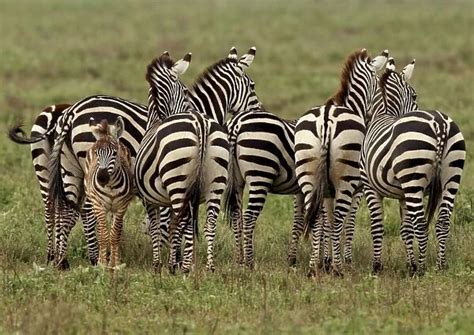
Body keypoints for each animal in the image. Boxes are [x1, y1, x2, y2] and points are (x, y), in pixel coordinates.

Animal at [8, 103, 71, 264]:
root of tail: (56, 113)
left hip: (42, 164)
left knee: (50, 207)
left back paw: (50, 256)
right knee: (60, 208)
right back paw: (60, 260)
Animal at [84, 117, 133, 270]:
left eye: (115, 153)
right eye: (97, 153)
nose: (102, 178)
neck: (110, 186)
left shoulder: (122, 206)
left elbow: (115, 234)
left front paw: (115, 264)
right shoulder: (99, 205)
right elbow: (104, 235)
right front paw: (103, 264)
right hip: (94, 203)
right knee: (100, 230)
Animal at [136, 46, 262, 272]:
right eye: (252, 85)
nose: (259, 112)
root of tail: (200, 124)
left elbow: (176, 226)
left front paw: (178, 260)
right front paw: (181, 259)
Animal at [294, 49, 386, 276]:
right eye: (377, 85)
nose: (380, 110)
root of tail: (327, 118)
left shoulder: (326, 191)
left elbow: (326, 221)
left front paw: (324, 261)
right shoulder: (358, 190)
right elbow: (347, 223)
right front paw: (342, 261)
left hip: (308, 175)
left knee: (317, 220)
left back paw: (312, 268)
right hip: (346, 181)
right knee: (338, 220)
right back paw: (338, 269)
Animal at [362, 59, 464, 276]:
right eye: (415, 95)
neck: (383, 114)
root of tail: (439, 123)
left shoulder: (370, 187)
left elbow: (377, 226)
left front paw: (377, 267)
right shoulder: (402, 195)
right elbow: (405, 229)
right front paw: (410, 265)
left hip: (413, 180)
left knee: (420, 224)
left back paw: (423, 269)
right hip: (452, 176)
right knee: (443, 221)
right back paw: (440, 266)